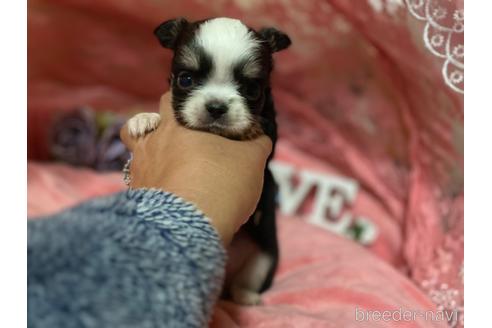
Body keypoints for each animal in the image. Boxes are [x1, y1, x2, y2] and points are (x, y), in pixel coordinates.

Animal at [128, 17, 292, 304]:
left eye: (252, 89)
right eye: (186, 79)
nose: (216, 107)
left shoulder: (272, 135)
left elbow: (263, 127)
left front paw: (249, 128)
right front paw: (144, 118)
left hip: (264, 259)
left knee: (244, 284)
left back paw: (247, 297)